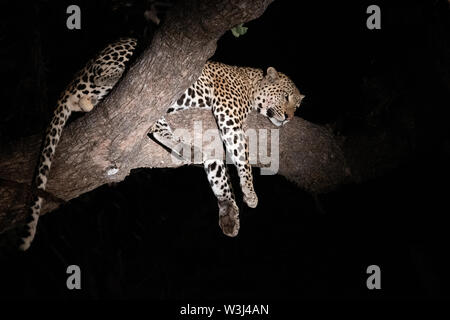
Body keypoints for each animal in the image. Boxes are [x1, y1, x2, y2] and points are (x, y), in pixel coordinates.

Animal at [148, 62, 306, 238]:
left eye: (297, 107)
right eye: (285, 96)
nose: (288, 117)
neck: (251, 84)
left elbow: (219, 175)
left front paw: (228, 211)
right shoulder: (229, 117)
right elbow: (243, 157)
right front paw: (250, 192)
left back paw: (187, 150)